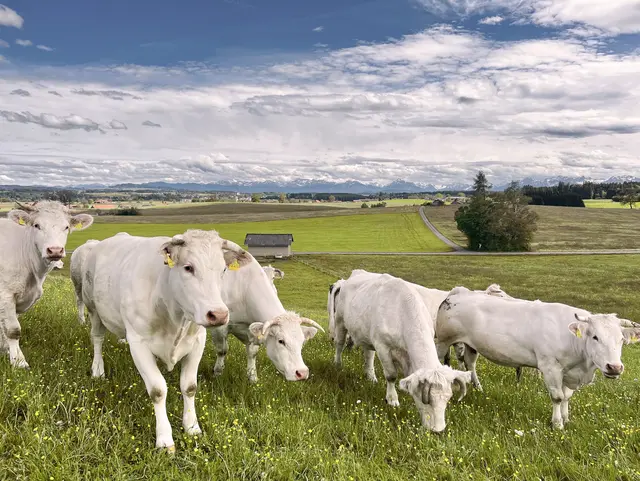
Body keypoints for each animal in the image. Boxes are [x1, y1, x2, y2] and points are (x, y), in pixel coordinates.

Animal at [79, 229, 250, 450]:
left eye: (223, 270)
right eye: (188, 267)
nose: (219, 314)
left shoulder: (198, 341)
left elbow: (190, 387)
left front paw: (192, 427)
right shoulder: (139, 343)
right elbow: (158, 390)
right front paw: (164, 439)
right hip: (93, 308)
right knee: (97, 339)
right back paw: (98, 369)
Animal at [211, 251, 322, 382]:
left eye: (302, 341)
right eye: (281, 341)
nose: (302, 373)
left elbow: (252, 353)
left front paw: (253, 377)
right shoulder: (219, 328)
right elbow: (222, 350)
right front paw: (217, 374)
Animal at [332, 270, 472, 432]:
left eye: (448, 398)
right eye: (426, 399)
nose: (438, 430)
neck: (402, 311)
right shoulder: (382, 346)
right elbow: (391, 375)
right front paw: (392, 399)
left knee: (368, 354)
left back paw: (371, 376)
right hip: (340, 321)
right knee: (340, 344)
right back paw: (337, 364)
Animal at [436, 286, 640, 430]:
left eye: (621, 339)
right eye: (595, 337)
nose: (615, 367)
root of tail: (459, 292)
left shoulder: (568, 371)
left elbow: (567, 397)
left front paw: (566, 418)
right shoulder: (550, 367)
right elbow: (557, 397)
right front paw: (557, 424)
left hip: (471, 345)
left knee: (470, 364)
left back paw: (478, 387)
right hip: (443, 341)